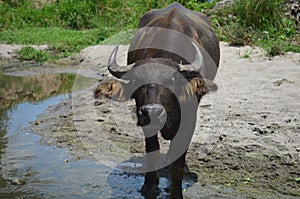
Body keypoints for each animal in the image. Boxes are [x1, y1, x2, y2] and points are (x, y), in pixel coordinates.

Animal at [95, 1, 219, 199]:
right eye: (137, 82)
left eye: (172, 81)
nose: (152, 112)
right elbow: (152, 150)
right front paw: (149, 185)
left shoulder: (189, 119)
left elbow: (178, 162)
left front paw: (175, 192)